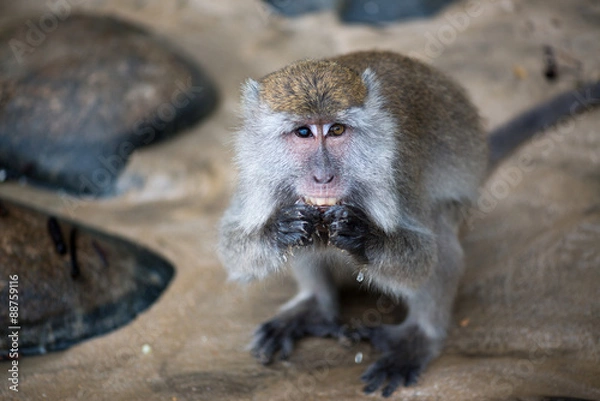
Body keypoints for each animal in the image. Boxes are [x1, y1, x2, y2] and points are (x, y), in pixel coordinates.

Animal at [219, 50, 600, 396]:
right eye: (303, 132)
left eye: (337, 130)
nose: (323, 176)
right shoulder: (257, 173)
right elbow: (232, 242)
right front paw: (280, 230)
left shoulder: (397, 171)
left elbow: (422, 259)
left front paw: (364, 237)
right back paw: (316, 304)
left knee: (441, 230)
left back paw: (419, 337)